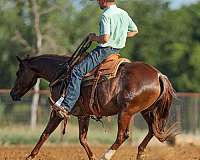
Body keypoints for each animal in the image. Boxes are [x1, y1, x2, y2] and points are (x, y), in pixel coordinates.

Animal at [10, 54, 177, 160]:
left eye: (18, 72)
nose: (12, 94)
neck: (61, 74)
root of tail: (158, 75)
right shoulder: (83, 115)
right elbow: (82, 138)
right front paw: (92, 157)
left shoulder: (58, 112)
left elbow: (45, 133)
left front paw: (30, 156)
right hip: (147, 111)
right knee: (153, 130)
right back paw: (140, 153)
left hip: (126, 112)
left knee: (123, 135)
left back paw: (106, 156)